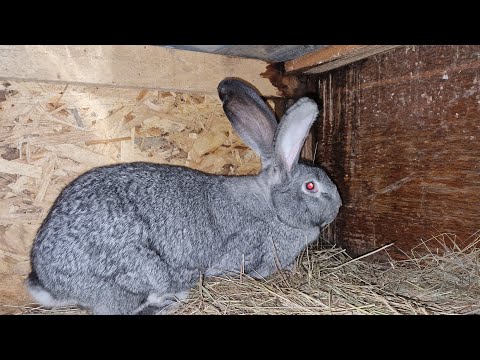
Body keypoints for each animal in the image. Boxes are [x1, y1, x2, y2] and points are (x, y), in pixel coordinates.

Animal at [26, 79, 342, 316]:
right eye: (311, 187)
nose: (338, 208)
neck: (273, 208)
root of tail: (48, 281)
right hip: (134, 274)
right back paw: (169, 301)